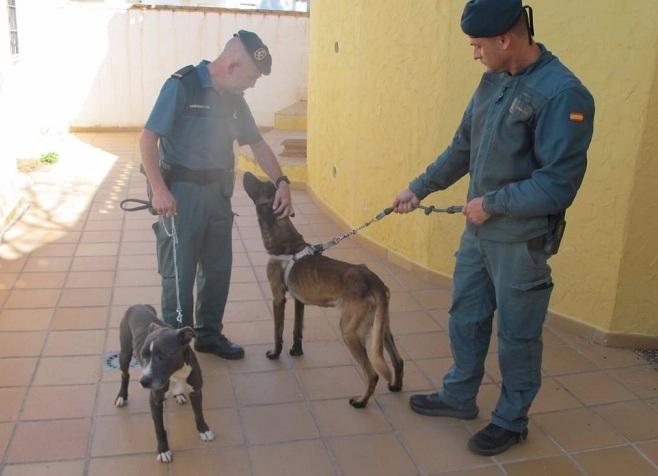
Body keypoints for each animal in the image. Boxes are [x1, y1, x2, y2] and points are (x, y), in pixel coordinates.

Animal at [243, 173, 402, 408]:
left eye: (259, 185)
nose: (245, 174)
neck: (286, 241)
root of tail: (373, 280)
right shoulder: (299, 300)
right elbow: (297, 330)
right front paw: (296, 351)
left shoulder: (278, 298)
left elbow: (278, 332)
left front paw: (275, 353)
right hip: (382, 327)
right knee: (398, 360)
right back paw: (396, 386)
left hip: (350, 332)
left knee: (373, 374)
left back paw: (361, 401)